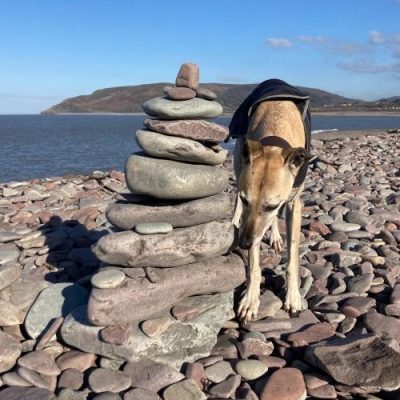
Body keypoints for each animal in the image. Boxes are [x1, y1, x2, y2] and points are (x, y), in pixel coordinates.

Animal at [230, 79, 310, 322]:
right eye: (246, 199)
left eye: (271, 205)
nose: (244, 243)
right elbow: (254, 265)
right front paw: (250, 300)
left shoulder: (293, 203)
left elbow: (293, 257)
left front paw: (293, 297)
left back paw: (274, 236)